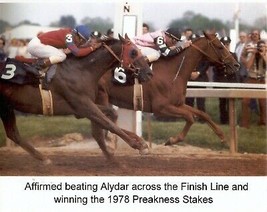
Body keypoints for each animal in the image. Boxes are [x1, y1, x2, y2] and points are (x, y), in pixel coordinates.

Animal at [0, 35, 153, 164]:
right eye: (133, 52)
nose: (149, 73)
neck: (81, 70)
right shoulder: (83, 106)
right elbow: (108, 124)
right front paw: (136, 145)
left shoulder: (82, 108)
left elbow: (111, 116)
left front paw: (140, 142)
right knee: (13, 134)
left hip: (7, 107)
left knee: (13, 134)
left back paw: (44, 159)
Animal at [93, 31, 241, 151]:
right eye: (220, 46)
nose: (236, 65)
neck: (173, 72)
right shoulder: (161, 108)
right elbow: (190, 117)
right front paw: (172, 140)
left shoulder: (177, 104)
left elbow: (202, 114)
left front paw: (223, 138)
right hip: (101, 95)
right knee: (106, 121)